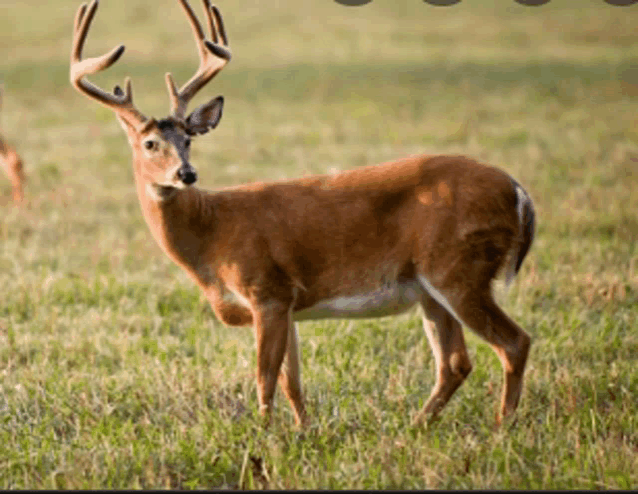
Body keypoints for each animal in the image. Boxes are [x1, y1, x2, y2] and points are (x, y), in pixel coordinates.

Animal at [72, 0, 536, 426]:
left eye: (188, 139)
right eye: (150, 143)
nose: (186, 173)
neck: (212, 234)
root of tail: (518, 190)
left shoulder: (267, 289)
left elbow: (264, 378)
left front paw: (263, 437)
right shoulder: (286, 303)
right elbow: (292, 381)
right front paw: (303, 432)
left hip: (459, 269)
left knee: (514, 343)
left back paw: (502, 429)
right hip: (430, 288)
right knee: (455, 362)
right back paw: (417, 426)